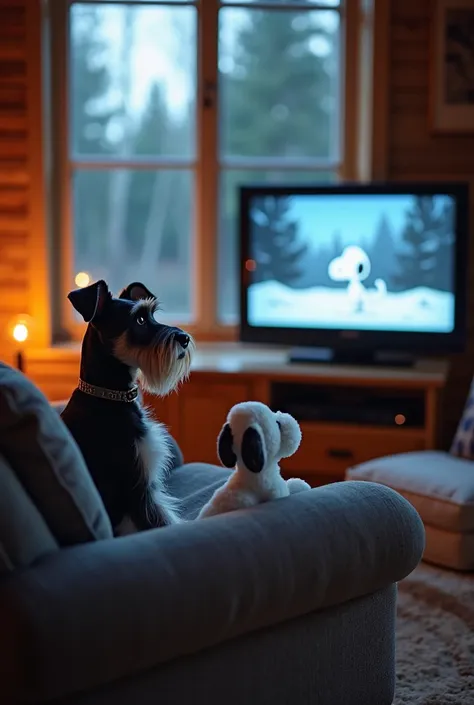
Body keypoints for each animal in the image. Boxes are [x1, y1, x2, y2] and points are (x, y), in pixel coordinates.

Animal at [61, 280, 194, 532]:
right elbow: (166, 521)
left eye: (152, 315)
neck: (108, 395)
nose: (184, 338)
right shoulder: (138, 491)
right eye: (139, 320)